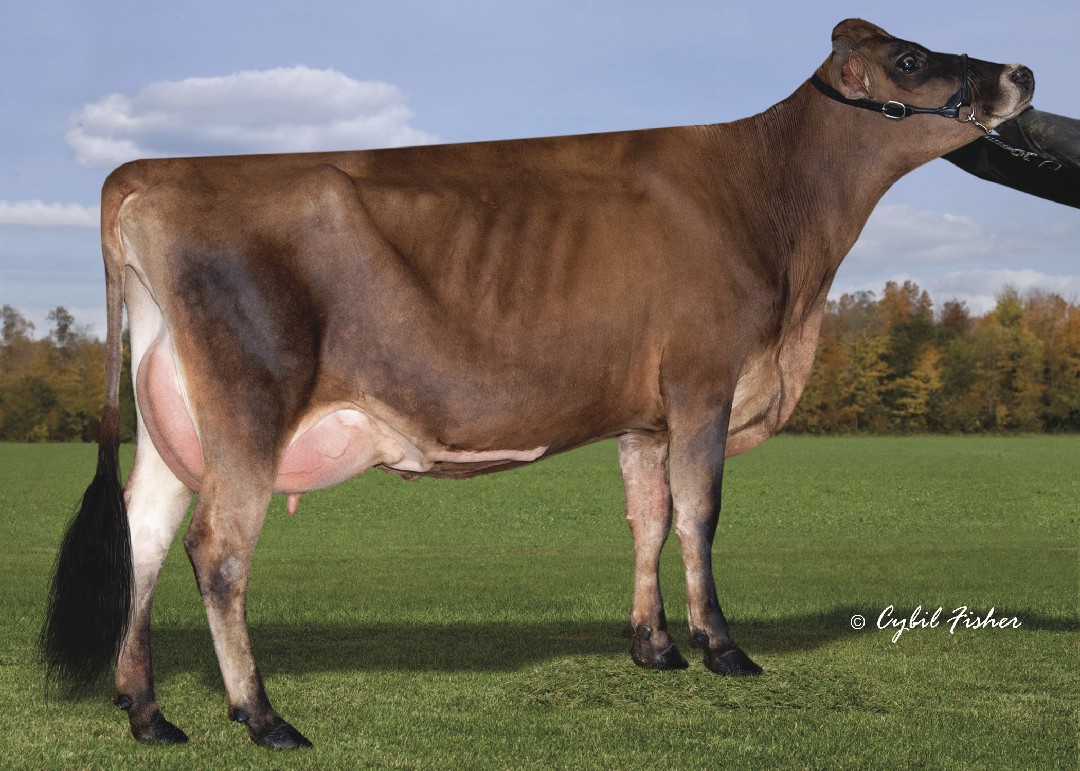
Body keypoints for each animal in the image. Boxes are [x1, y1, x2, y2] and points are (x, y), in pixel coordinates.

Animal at [41, 19, 1034, 749]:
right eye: (910, 60)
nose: (1021, 69)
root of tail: (151, 170)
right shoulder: (705, 380)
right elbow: (700, 511)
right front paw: (721, 647)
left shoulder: (645, 413)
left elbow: (649, 516)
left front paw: (653, 646)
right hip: (251, 402)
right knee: (217, 547)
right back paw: (261, 715)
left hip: (174, 414)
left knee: (143, 534)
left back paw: (147, 712)